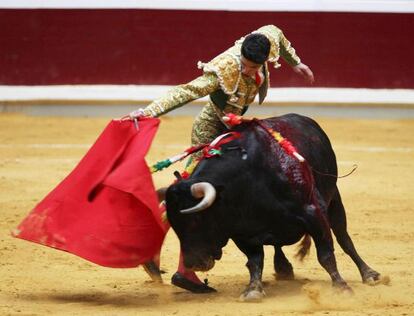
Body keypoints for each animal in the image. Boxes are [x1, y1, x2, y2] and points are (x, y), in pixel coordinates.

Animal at [165, 114, 382, 302]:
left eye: (197, 219)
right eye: (175, 226)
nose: (193, 263)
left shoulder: (314, 212)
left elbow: (326, 254)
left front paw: (341, 287)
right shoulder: (242, 232)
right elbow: (254, 260)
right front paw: (253, 290)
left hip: (334, 200)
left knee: (344, 238)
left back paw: (370, 274)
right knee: (277, 244)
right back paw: (283, 267)